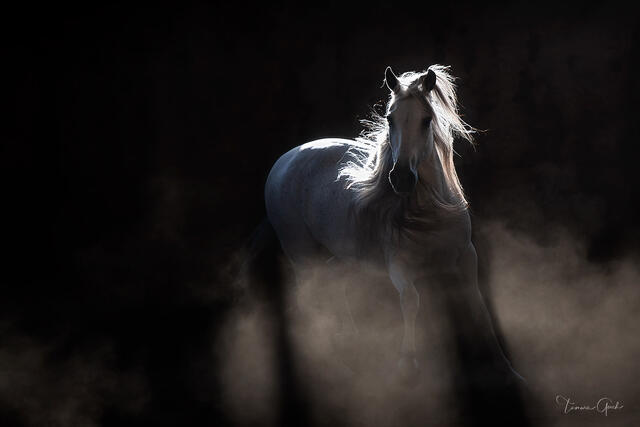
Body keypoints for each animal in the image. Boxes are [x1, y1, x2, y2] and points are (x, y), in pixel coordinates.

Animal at [260, 65, 528, 426]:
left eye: (427, 120)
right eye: (389, 118)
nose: (400, 179)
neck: (427, 209)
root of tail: (283, 161)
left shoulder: (464, 259)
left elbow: (479, 308)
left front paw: (509, 372)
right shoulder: (400, 265)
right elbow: (411, 302)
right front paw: (407, 369)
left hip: (336, 257)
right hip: (301, 255)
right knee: (311, 299)